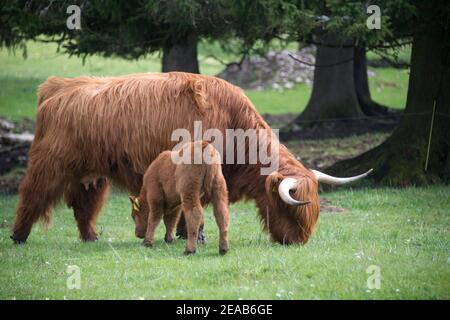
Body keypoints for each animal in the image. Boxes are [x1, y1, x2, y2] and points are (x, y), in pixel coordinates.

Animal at [11, 71, 372, 244]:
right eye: (289, 208)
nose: (299, 241)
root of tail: (58, 86)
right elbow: (193, 208)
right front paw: (194, 236)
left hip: (93, 176)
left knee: (85, 206)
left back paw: (91, 238)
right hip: (49, 164)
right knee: (32, 195)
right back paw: (18, 236)